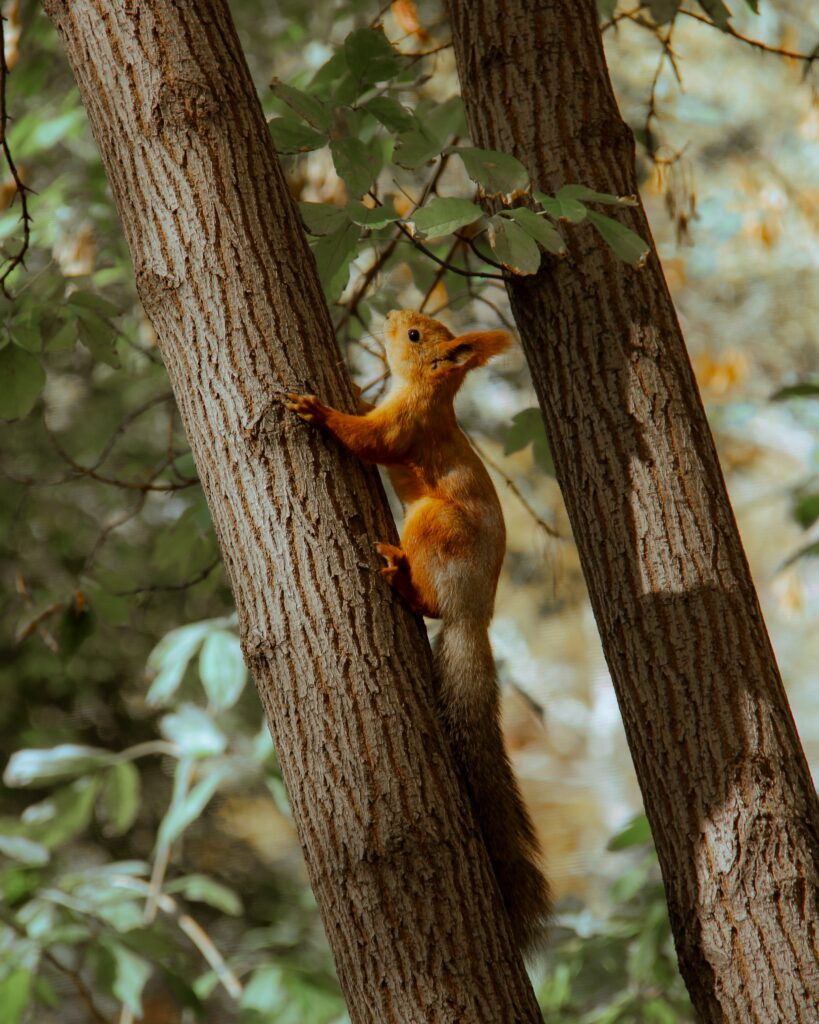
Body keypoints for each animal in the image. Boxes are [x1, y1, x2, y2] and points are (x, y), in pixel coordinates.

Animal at [287, 309, 551, 955]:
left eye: (413, 336)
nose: (390, 316)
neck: (430, 392)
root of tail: (473, 614)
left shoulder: (404, 427)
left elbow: (369, 441)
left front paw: (318, 411)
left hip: (432, 523)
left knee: (430, 604)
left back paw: (403, 581)